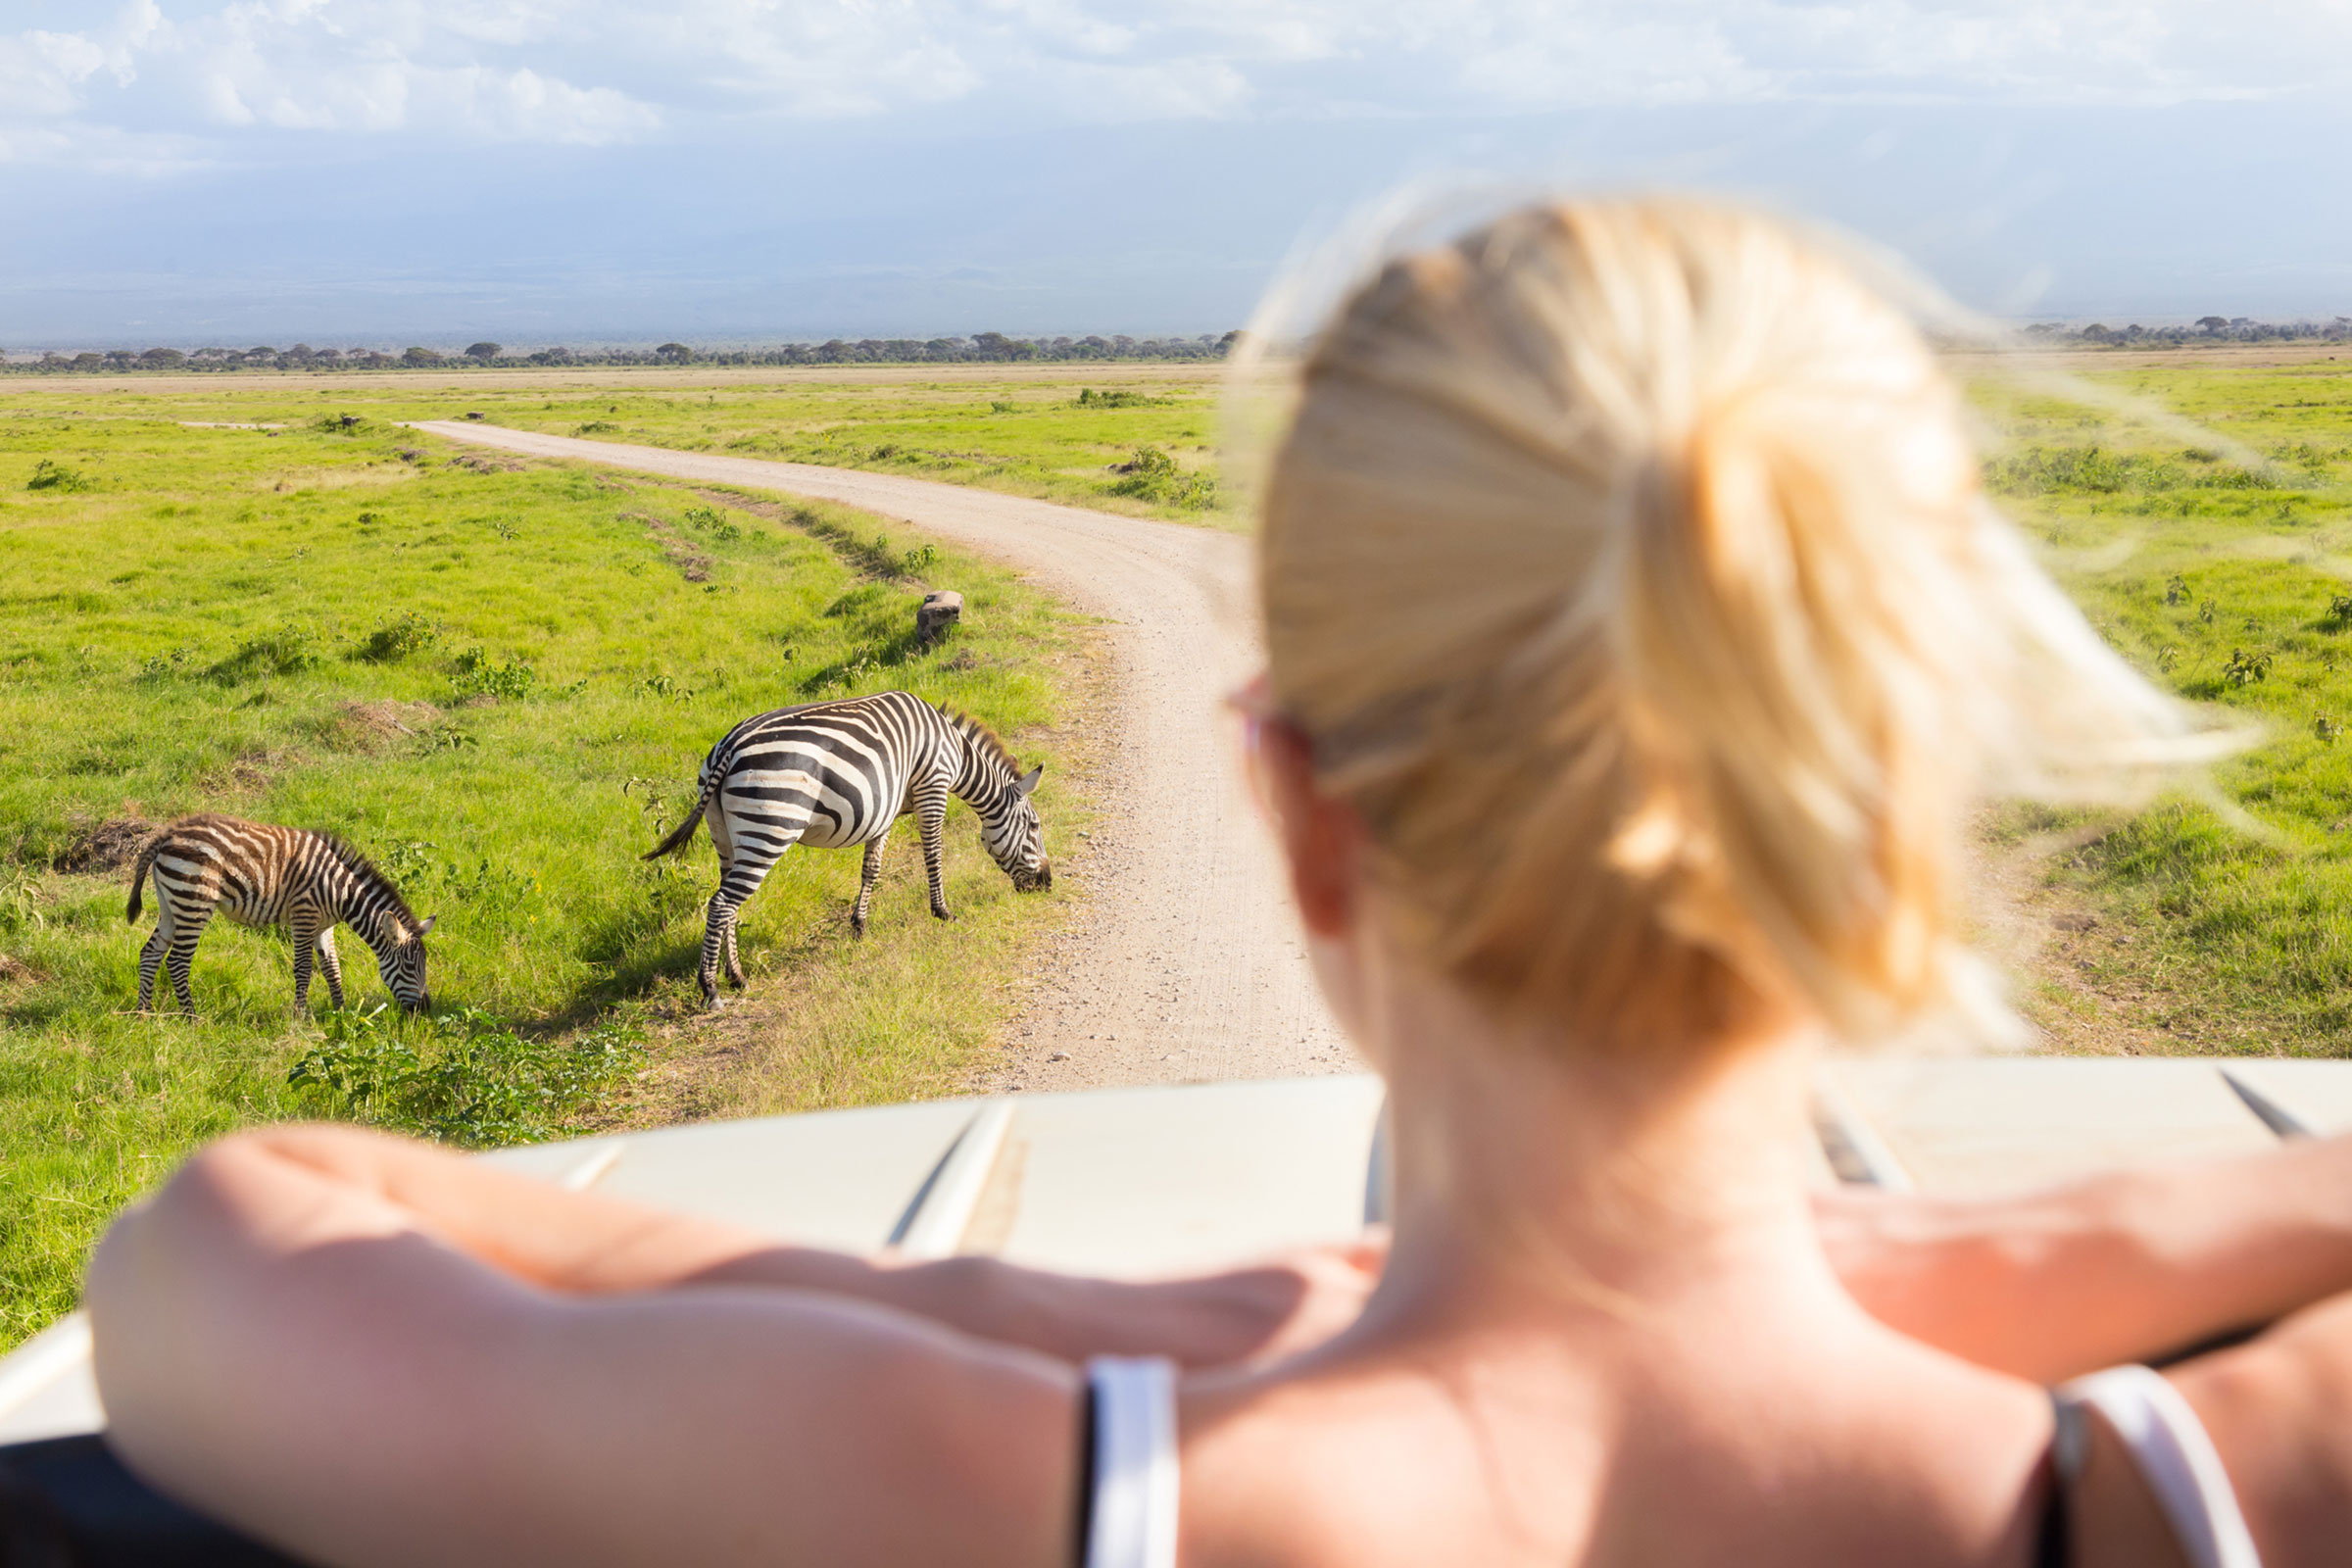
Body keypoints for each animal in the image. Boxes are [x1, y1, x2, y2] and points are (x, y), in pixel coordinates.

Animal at [124, 808, 437, 1020]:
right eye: (410, 966)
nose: (425, 1010)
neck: (341, 890)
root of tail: (168, 833)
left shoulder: (325, 926)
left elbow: (332, 968)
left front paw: (341, 1013)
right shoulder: (304, 916)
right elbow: (303, 969)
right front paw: (300, 1017)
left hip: (171, 903)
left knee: (150, 953)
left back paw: (144, 1013)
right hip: (194, 901)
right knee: (177, 961)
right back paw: (191, 1018)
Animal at [644, 691, 1049, 1010]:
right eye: (1034, 826)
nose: (1046, 884)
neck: (955, 752)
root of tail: (728, 746)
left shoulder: (886, 809)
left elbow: (872, 868)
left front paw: (859, 925)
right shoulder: (932, 787)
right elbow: (933, 854)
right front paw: (942, 911)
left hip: (724, 834)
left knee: (727, 903)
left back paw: (737, 977)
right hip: (769, 829)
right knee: (721, 903)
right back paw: (711, 989)